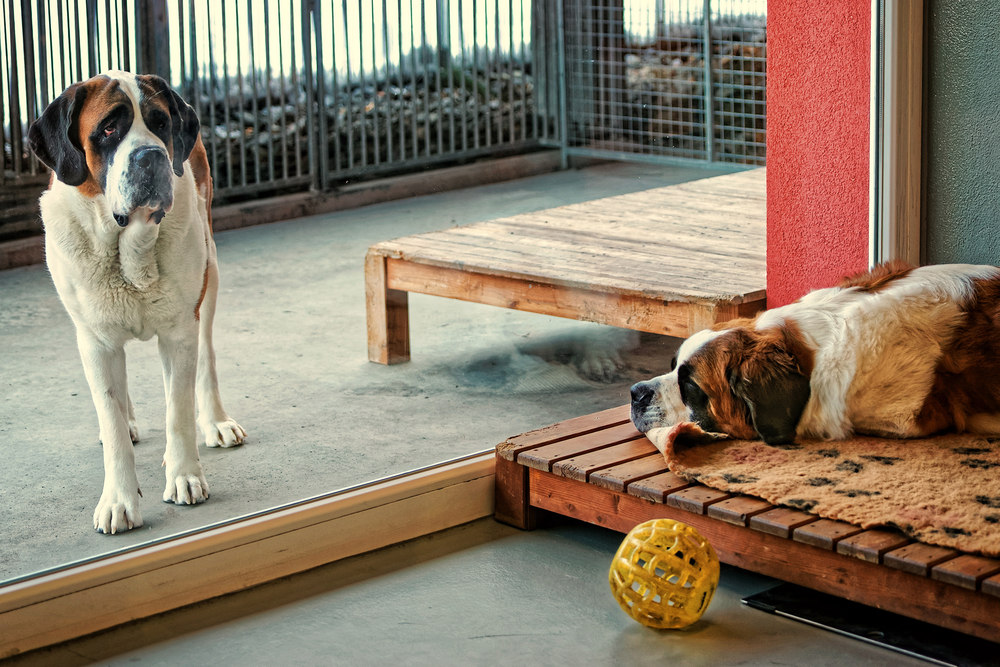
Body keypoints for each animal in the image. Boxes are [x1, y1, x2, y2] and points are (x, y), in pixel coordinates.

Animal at [28, 70, 247, 536]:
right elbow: (110, 416)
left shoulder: (180, 331)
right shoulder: (94, 340)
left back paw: (216, 421)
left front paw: (184, 475)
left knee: (205, 358)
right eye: (109, 129)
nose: (152, 157)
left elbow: (178, 410)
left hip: (210, 276)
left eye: (161, 123)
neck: (127, 250)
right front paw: (118, 500)